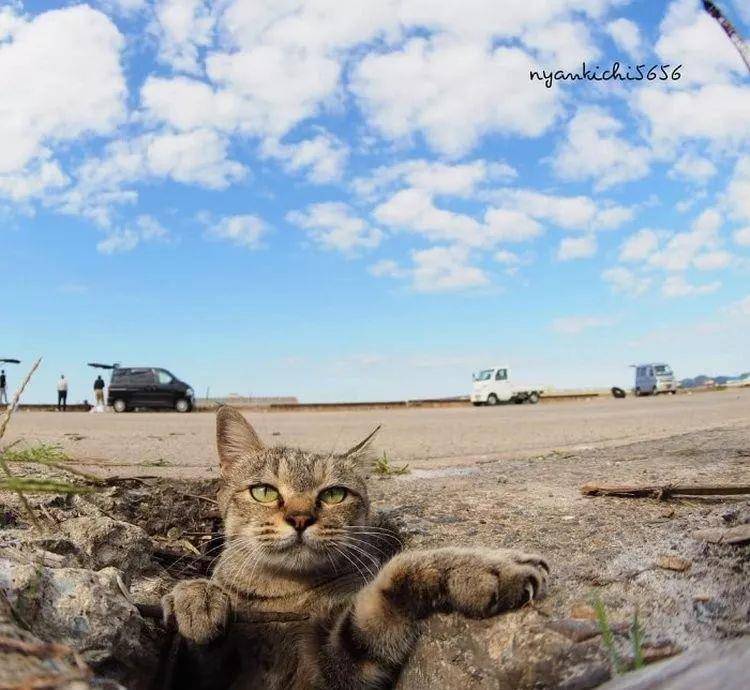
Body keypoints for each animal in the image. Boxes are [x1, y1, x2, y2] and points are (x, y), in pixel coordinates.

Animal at [163, 406, 552, 684]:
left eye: (334, 494)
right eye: (264, 492)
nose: (300, 518)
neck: (286, 593)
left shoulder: (339, 663)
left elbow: (389, 583)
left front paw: (473, 566)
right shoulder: (204, 675)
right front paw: (197, 596)